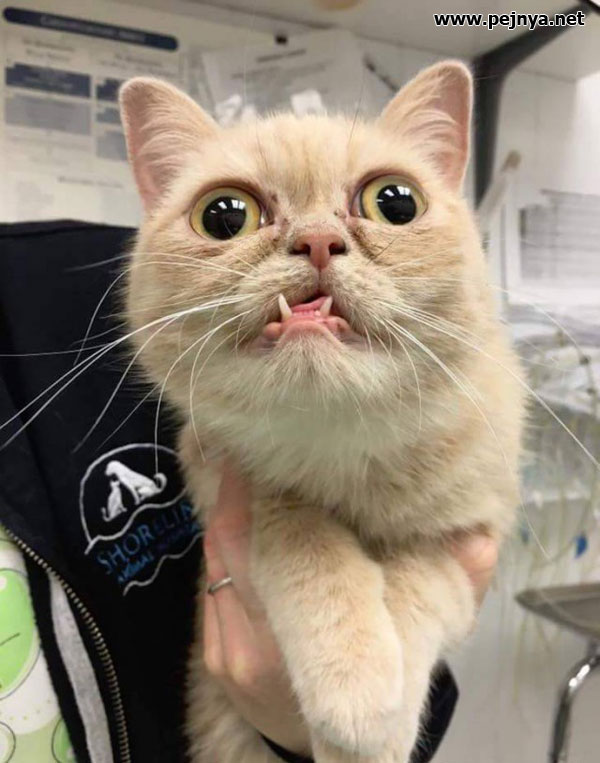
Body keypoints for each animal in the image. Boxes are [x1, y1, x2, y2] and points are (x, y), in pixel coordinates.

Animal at [119, 60, 525, 763]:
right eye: (224, 216)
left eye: (396, 202)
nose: (315, 240)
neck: (340, 443)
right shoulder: (227, 478)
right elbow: (302, 534)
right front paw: (353, 679)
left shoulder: (472, 533)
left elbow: (420, 576)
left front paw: (375, 716)